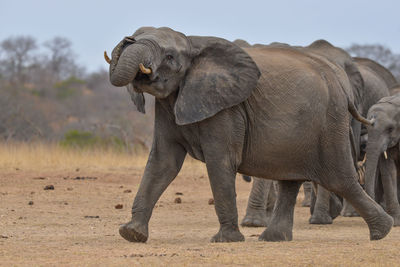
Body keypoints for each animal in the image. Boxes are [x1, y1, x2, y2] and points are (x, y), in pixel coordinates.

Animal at [104, 26, 392, 243]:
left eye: (170, 57)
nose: (127, 40)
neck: (194, 45)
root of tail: (341, 83)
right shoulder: (168, 104)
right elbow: (162, 163)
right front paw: (131, 233)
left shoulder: (227, 108)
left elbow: (220, 162)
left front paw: (225, 240)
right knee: (291, 179)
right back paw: (273, 238)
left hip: (329, 124)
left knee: (339, 178)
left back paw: (383, 230)